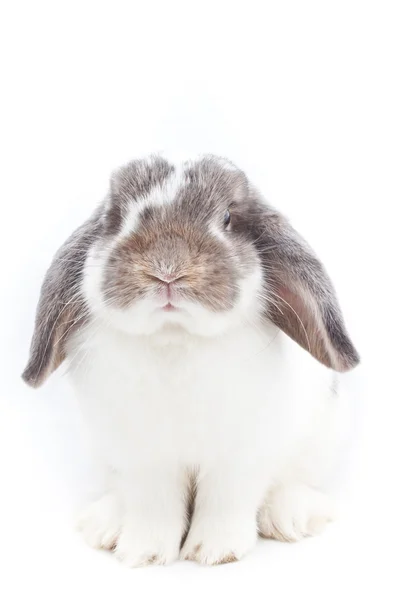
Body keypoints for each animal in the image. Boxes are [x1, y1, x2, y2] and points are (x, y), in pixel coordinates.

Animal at [21, 155, 360, 568]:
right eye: (116, 217)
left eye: (228, 217)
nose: (167, 267)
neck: (175, 336)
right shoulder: (143, 459)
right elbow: (153, 507)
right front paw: (145, 553)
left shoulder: (240, 456)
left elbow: (226, 502)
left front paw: (214, 552)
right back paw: (105, 525)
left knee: (292, 481)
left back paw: (290, 517)